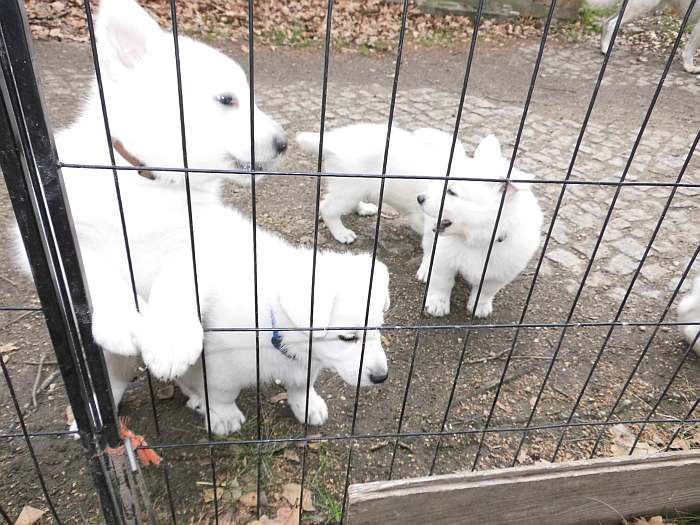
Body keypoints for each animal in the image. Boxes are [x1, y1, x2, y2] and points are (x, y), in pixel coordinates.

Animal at [292, 124, 468, 244]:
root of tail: (332, 142)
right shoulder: (421, 219)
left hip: (354, 188)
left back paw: (364, 209)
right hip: (349, 188)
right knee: (327, 209)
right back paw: (342, 233)